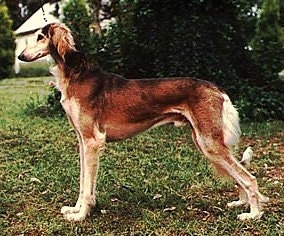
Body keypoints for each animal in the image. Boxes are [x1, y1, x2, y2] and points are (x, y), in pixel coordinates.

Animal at [18, 22, 268, 221]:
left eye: (40, 37)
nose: (20, 57)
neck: (76, 74)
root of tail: (217, 89)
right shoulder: (82, 141)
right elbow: (83, 183)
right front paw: (75, 209)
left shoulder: (93, 141)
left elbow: (87, 186)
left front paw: (81, 216)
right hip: (206, 141)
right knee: (241, 173)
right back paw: (243, 203)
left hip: (210, 143)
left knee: (249, 178)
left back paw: (253, 214)